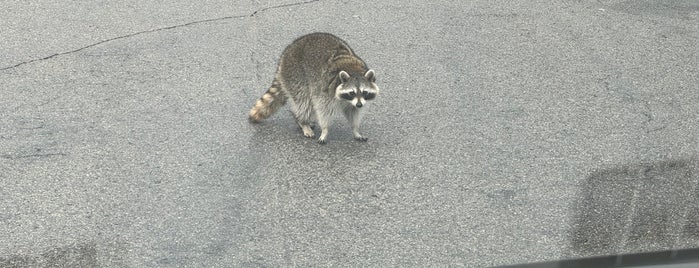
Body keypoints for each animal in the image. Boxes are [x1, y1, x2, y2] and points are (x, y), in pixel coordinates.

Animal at [249, 32, 380, 144]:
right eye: (351, 92)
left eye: (364, 92)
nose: (359, 104)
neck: (354, 71)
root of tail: (285, 54)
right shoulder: (325, 91)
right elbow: (323, 110)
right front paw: (325, 130)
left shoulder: (353, 102)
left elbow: (353, 112)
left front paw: (356, 129)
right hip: (296, 75)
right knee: (304, 101)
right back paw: (302, 122)